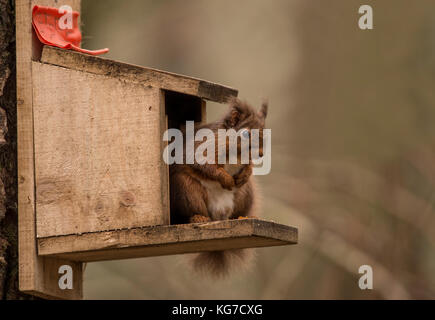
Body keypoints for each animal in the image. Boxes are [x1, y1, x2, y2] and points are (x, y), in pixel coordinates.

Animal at [170, 98, 270, 278]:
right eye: (245, 134)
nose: (260, 153)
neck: (237, 153)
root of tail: (219, 214)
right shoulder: (204, 147)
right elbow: (206, 165)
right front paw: (227, 179)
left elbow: (249, 166)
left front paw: (245, 174)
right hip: (186, 189)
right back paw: (198, 218)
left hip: (245, 194)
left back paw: (241, 217)